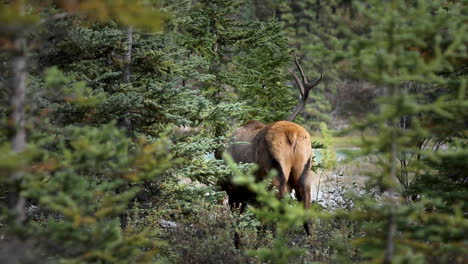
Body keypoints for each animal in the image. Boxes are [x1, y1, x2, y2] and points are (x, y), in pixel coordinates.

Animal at [220, 53, 322, 235]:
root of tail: (292, 134)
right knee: (306, 216)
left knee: (275, 212)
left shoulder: (237, 192)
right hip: (304, 174)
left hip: (273, 176)